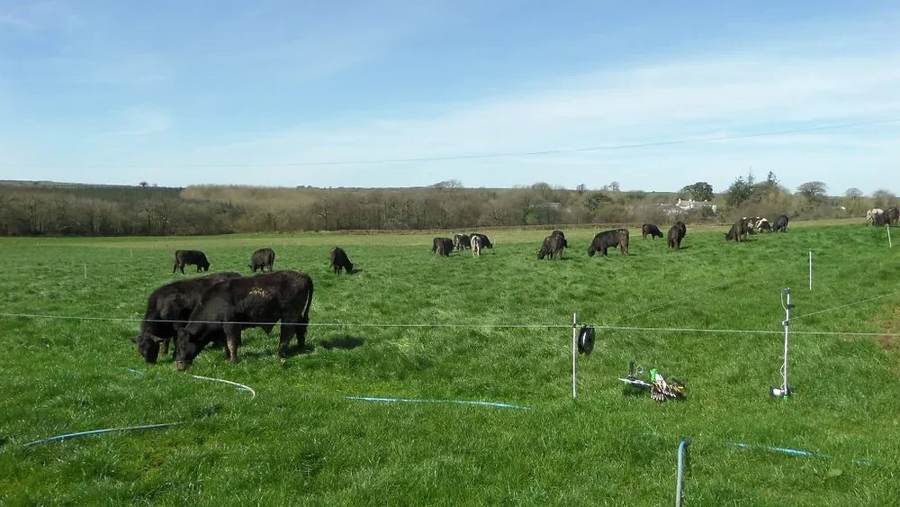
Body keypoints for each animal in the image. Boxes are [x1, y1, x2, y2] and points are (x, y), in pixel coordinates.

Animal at [174, 271, 314, 370]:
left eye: (183, 345)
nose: (178, 364)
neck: (214, 303)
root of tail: (303, 275)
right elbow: (226, 344)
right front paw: (227, 358)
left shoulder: (231, 325)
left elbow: (231, 343)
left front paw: (233, 360)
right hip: (298, 315)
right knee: (300, 329)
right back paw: (300, 348)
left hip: (289, 316)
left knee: (287, 333)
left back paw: (280, 353)